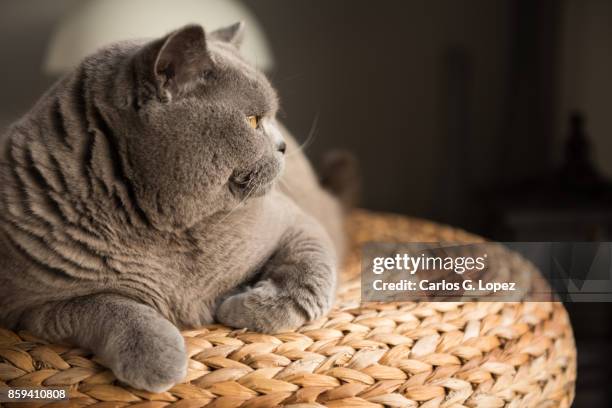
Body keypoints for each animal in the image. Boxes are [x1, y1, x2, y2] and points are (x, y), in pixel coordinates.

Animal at [0, 22, 346, 392]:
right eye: (253, 121)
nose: (282, 145)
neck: (169, 230)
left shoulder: (297, 222)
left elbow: (308, 276)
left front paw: (240, 307)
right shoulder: (30, 307)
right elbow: (108, 306)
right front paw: (156, 359)